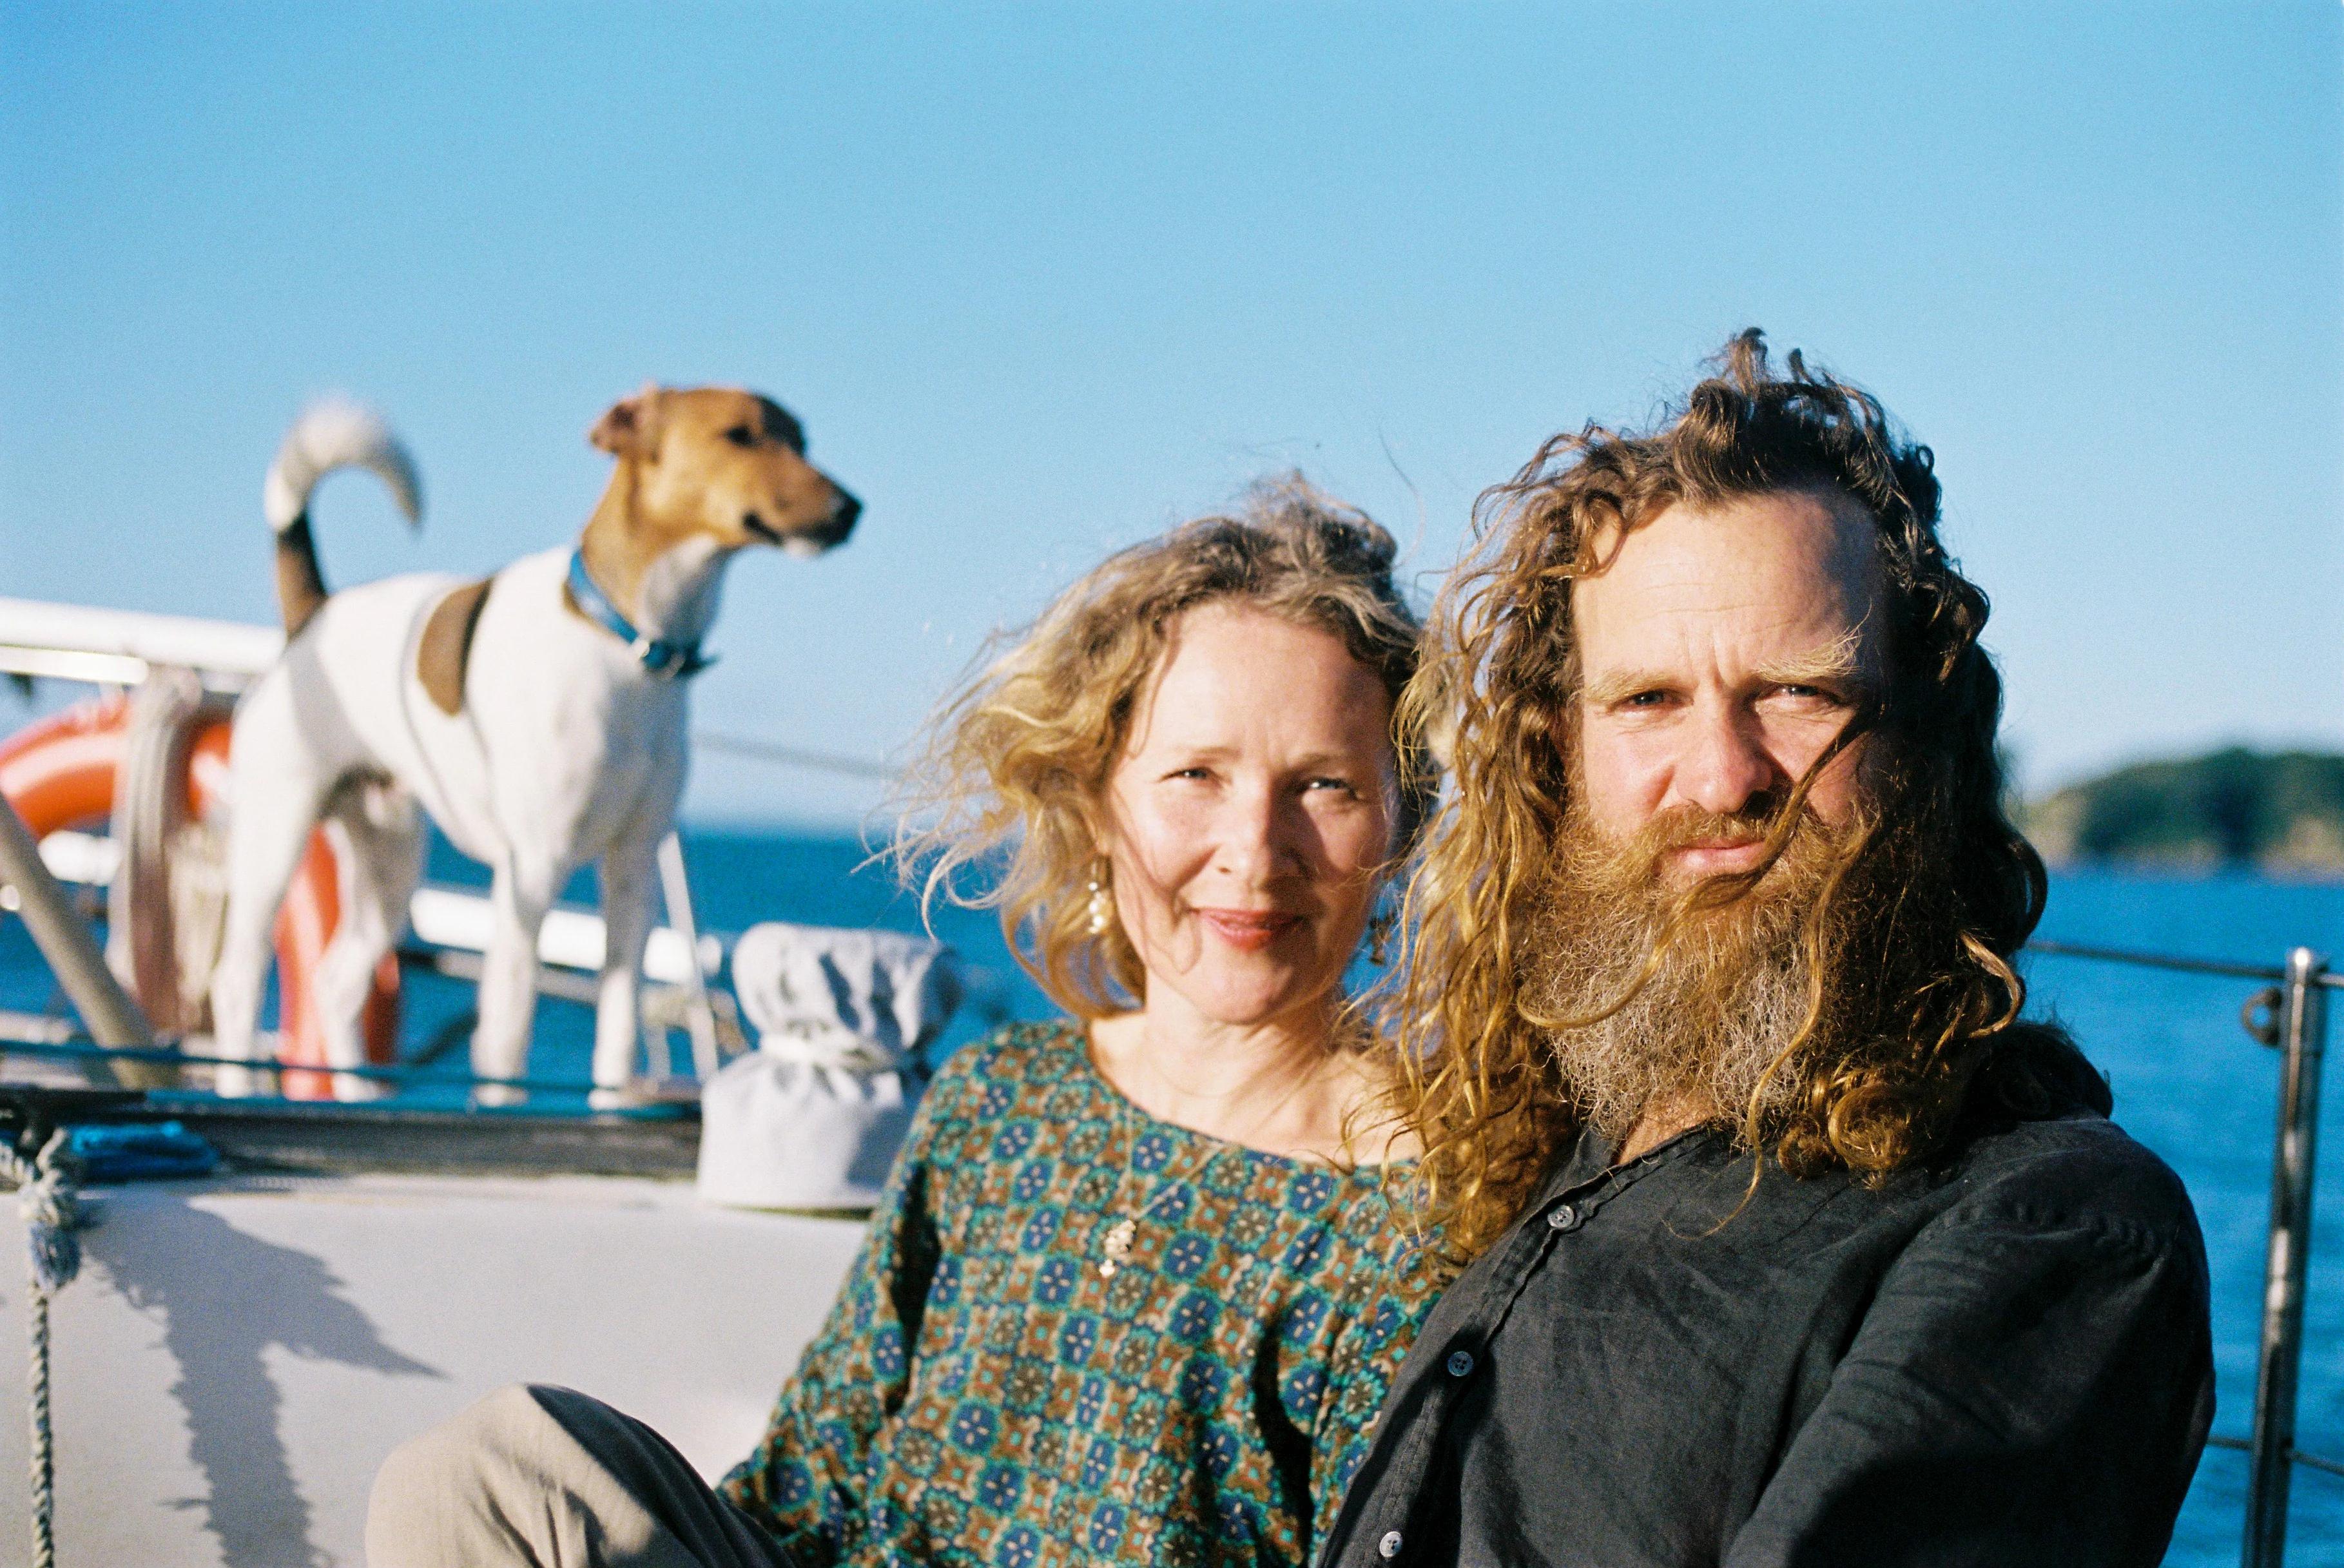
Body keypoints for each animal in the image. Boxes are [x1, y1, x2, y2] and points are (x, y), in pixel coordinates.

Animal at [213, 389, 862, 1101]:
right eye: (739, 436)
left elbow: (617, 1029)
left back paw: (359, 1095)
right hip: (275, 838)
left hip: (389, 863)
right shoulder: (531, 872)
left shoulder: (632, 869)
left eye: (801, 441)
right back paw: (238, 1087)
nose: (849, 509)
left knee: (338, 983)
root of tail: (312, 617)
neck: (626, 642)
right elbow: (507, 1037)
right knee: (237, 982)